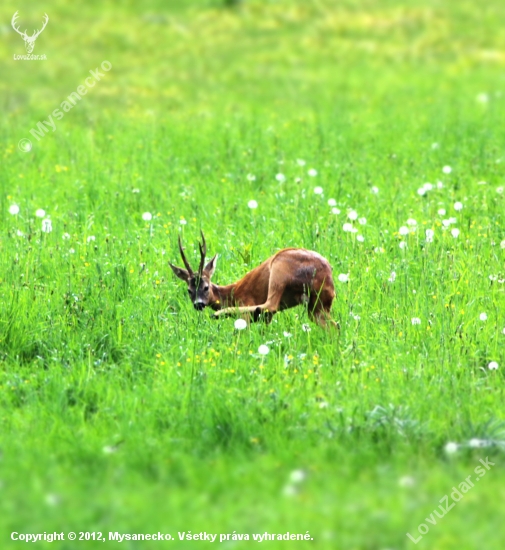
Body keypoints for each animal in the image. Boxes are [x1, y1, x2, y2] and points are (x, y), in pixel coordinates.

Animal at [170, 232, 338, 328]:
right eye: (189, 290)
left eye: (205, 287)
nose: (198, 304)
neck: (231, 294)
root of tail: (327, 271)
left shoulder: (246, 300)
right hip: (319, 304)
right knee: (334, 326)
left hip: (279, 267)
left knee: (270, 305)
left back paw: (220, 314)